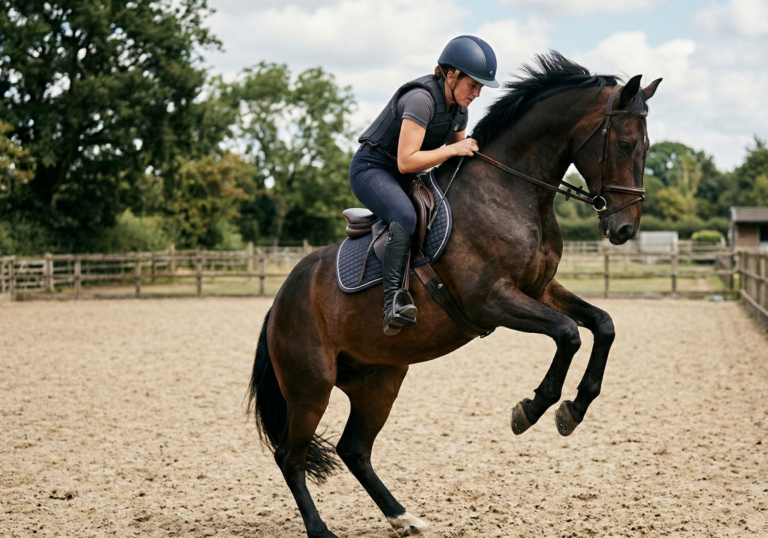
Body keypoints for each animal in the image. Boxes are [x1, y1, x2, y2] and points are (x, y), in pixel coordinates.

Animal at [247, 52, 661, 538]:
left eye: (646, 146)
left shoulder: (539, 289)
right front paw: (532, 409)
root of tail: (279, 300)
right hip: (310, 385)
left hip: (379, 379)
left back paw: (404, 517)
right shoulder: (492, 301)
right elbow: (568, 333)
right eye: (626, 145)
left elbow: (602, 325)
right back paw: (321, 529)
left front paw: (573, 410)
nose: (624, 229)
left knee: (354, 449)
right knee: (289, 456)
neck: (513, 190)